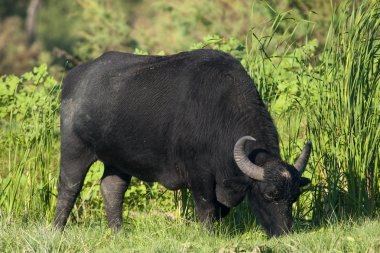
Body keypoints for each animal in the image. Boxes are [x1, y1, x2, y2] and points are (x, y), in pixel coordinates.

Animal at [54, 49, 312, 237]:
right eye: (269, 195)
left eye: (294, 197)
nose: (284, 233)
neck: (220, 113)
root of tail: (74, 78)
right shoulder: (199, 174)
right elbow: (207, 207)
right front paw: (208, 235)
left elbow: (220, 209)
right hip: (74, 149)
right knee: (69, 188)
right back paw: (57, 230)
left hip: (117, 160)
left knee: (112, 189)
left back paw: (118, 232)